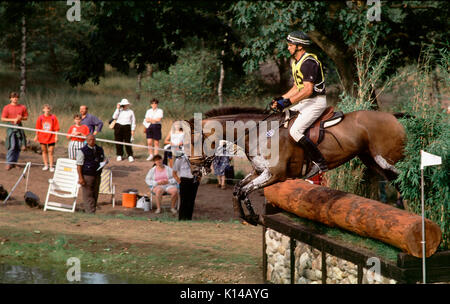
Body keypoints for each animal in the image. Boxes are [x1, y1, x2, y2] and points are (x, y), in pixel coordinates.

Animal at [185, 107, 406, 226]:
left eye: (194, 141)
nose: (194, 171)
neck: (258, 133)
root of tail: (393, 116)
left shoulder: (274, 175)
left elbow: (244, 191)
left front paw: (253, 216)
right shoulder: (259, 171)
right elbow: (238, 189)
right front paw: (245, 216)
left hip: (387, 159)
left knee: (405, 178)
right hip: (372, 160)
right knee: (396, 182)